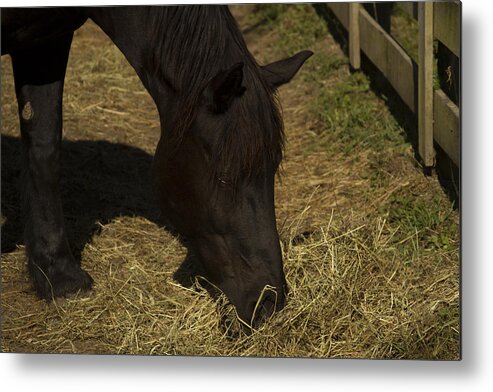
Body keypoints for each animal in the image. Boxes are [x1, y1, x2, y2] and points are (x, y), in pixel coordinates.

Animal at [1, 6, 312, 330]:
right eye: (224, 176)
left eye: (272, 169)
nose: (269, 301)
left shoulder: (49, 39)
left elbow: (44, 146)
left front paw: (59, 276)